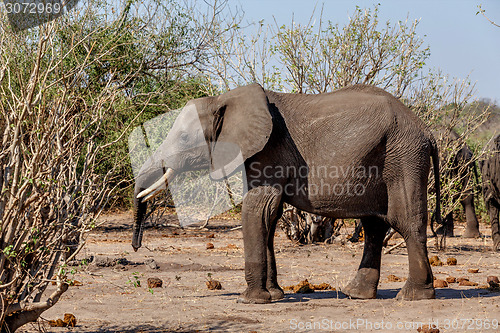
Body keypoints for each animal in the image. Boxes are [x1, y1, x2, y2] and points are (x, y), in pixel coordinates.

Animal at [131, 82, 440, 300]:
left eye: (184, 138)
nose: (136, 247)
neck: (223, 99)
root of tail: (427, 131)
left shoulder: (270, 149)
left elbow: (257, 208)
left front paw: (251, 300)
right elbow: (270, 214)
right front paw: (275, 295)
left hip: (405, 157)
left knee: (405, 221)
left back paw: (413, 296)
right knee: (374, 225)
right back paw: (357, 294)